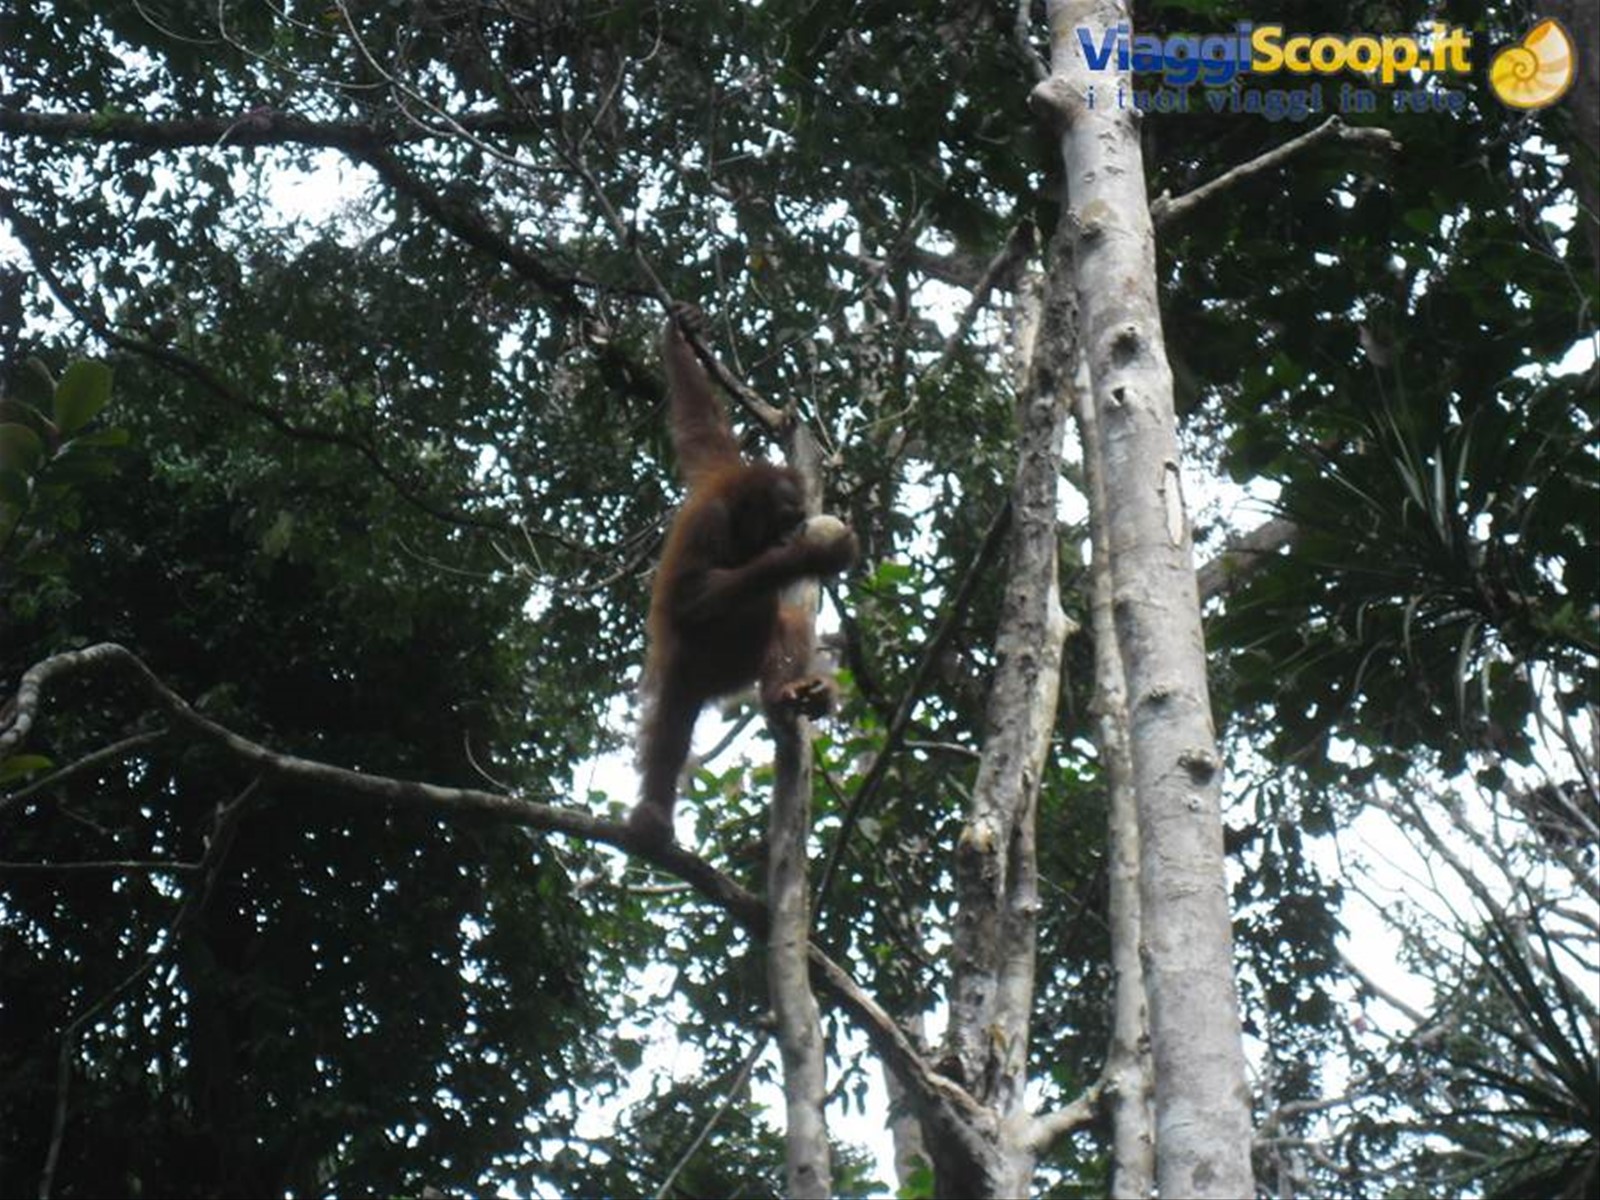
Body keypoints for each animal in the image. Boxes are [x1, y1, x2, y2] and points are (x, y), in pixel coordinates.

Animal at [627, 309, 857, 846]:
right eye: (784, 521)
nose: (793, 534)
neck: (736, 515)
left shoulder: (717, 463)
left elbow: (699, 420)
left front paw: (678, 339)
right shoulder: (710, 519)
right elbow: (692, 597)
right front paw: (812, 555)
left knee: (785, 623)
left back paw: (786, 697)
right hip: (693, 666)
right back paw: (652, 815)